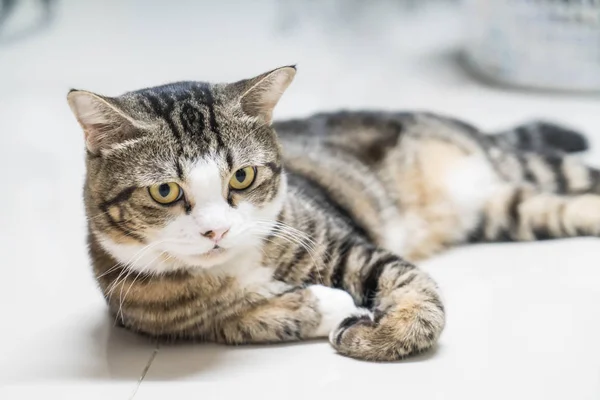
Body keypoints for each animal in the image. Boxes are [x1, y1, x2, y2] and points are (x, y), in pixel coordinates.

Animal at [65, 66, 600, 362]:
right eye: (164, 191)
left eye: (242, 177)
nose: (216, 230)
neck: (232, 267)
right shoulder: (147, 314)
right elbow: (240, 318)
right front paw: (329, 308)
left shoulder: (345, 243)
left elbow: (416, 290)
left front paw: (375, 334)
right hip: (509, 209)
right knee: (565, 205)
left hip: (521, 166)